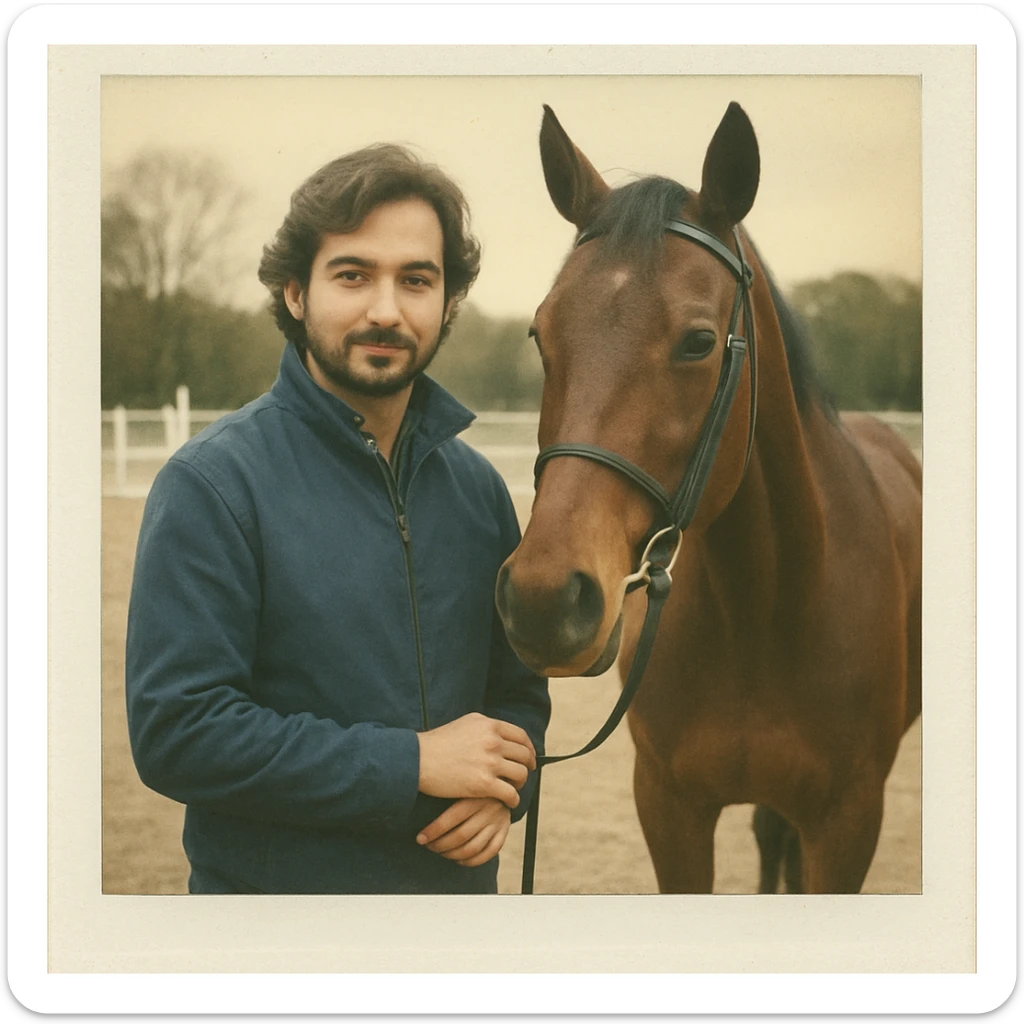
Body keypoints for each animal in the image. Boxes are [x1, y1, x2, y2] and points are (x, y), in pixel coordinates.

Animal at [495, 103, 922, 894]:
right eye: (541, 333)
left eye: (697, 342)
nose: (542, 598)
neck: (765, 609)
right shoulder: (670, 810)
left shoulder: (848, 823)